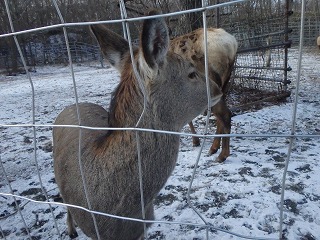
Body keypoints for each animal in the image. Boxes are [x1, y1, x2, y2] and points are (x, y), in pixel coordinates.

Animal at [170, 28, 238, 163]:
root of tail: (231, 45)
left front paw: (195, 140)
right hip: (224, 84)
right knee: (220, 117)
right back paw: (214, 147)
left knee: (225, 114)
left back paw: (222, 155)